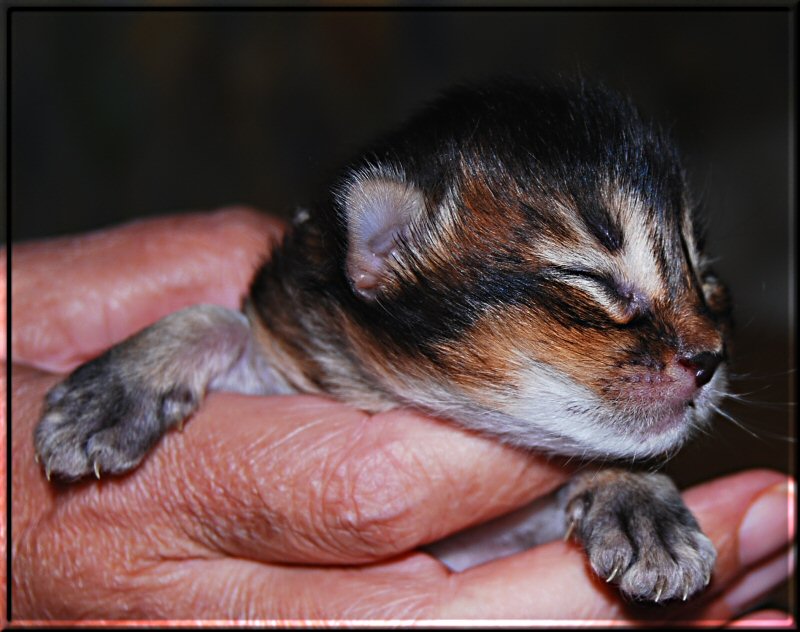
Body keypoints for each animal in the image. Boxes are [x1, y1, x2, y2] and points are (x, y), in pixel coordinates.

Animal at [34, 79, 728, 604]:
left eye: (708, 281)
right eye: (594, 281)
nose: (710, 360)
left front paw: (638, 503)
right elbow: (218, 319)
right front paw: (109, 394)